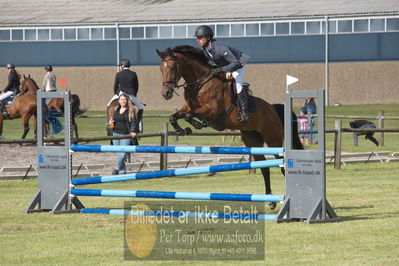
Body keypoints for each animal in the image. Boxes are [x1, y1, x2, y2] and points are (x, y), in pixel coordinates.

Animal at [156, 45, 304, 210]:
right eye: (161, 68)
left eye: (173, 68)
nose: (165, 93)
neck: (200, 83)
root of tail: (272, 108)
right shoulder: (188, 106)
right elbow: (174, 117)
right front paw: (183, 130)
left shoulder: (212, 110)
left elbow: (189, 115)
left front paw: (197, 124)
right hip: (253, 140)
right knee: (264, 167)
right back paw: (271, 201)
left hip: (273, 139)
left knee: (282, 165)